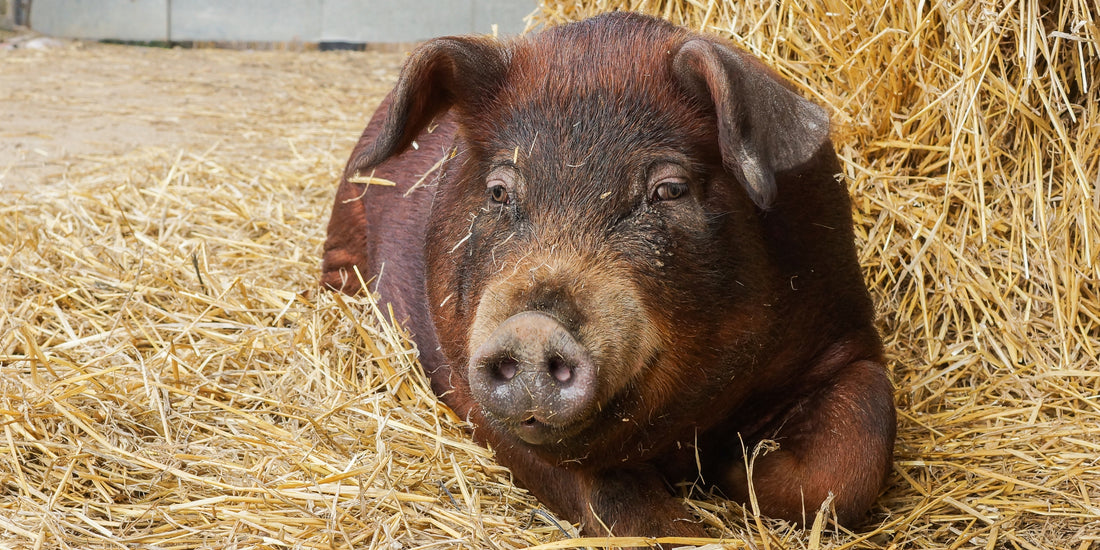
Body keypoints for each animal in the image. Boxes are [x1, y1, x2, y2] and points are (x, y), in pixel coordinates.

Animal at [319, 10, 893, 539]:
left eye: (670, 189)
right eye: (499, 191)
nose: (532, 327)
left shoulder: (847, 334)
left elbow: (853, 456)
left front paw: (739, 465)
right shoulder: (466, 380)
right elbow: (619, 505)